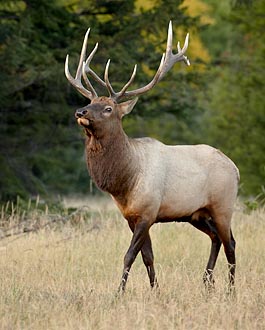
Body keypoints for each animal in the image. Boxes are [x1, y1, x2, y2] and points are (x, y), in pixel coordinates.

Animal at [65, 21, 238, 292]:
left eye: (108, 108)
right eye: (90, 101)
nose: (80, 111)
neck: (125, 182)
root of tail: (235, 168)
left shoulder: (148, 211)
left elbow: (129, 255)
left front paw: (119, 293)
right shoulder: (131, 216)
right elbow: (147, 256)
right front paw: (155, 290)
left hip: (223, 205)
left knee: (230, 242)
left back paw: (230, 290)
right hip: (196, 213)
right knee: (216, 238)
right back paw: (207, 282)